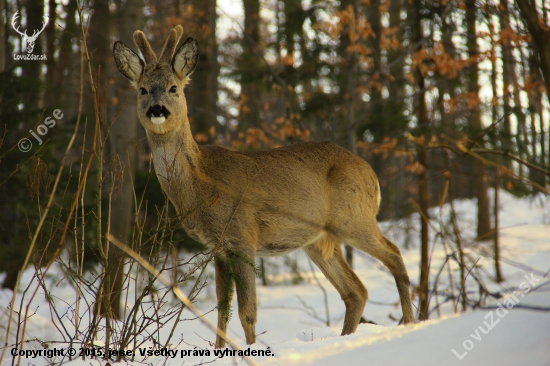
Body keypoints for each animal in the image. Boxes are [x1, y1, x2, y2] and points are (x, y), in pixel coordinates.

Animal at [114, 25, 416, 346]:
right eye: (143, 89)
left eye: (174, 88)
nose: (157, 109)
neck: (201, 184)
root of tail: (371, 173)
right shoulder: (219, 249)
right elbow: (222, 311)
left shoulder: (242, 236)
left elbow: (248, 311)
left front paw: (251, 348)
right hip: (319, 240)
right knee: (356, 291)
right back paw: (348, 336)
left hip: (354, 217)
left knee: (394, 255)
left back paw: (410, 323)